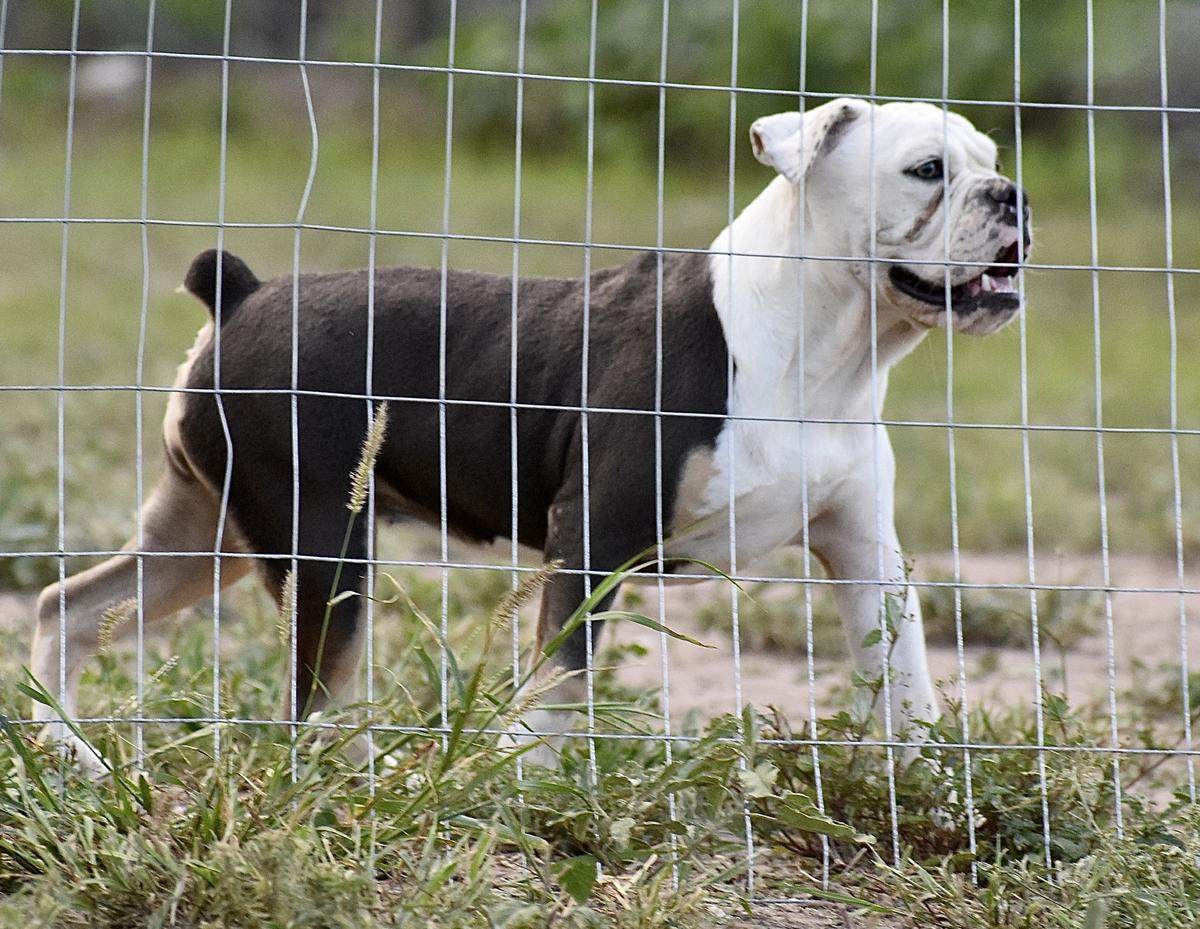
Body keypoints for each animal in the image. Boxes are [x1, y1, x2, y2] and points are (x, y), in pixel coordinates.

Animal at [35, 98, 1032, 772]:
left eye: (988, 158)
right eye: (927, 170)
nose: (1012, 196)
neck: (811, 342)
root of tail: (240, 295)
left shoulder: (867, 550)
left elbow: (909, 680)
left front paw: (933, 796)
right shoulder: (592, 540)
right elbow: (560, 684)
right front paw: (525, 780)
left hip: (212, 531)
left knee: (67, 607)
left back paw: (74, 756)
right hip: (320, 545)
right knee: (317, 696)